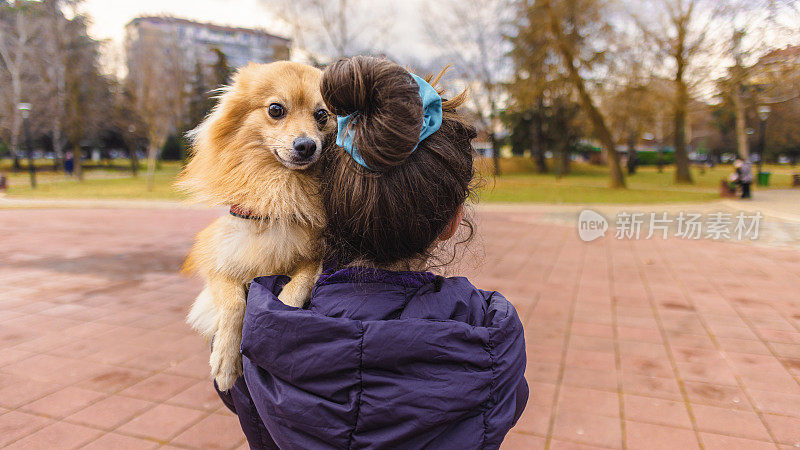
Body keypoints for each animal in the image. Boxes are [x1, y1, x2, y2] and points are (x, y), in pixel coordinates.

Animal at [177, 61, 332, 392]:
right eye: (276, 109)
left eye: (322, 115)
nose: (306, 145)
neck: (280, 189)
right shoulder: (220, 261)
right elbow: (233, 302)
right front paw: (225, 361)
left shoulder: (317, 256)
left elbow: (297, 285)